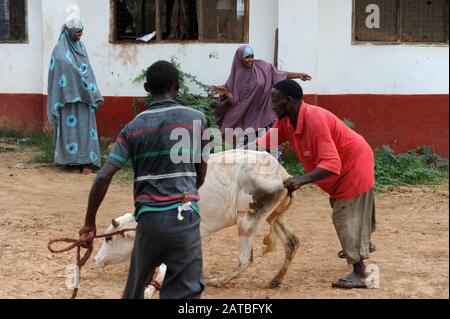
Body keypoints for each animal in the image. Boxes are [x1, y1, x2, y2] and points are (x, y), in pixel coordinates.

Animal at [95, 151, 298, 288]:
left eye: (109, 238)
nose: (96, 259)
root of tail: (280, 173)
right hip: (274, 217)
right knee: (292, 242)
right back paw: (275, 280)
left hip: (248, 220)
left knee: (245, 259)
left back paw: (219, 281)